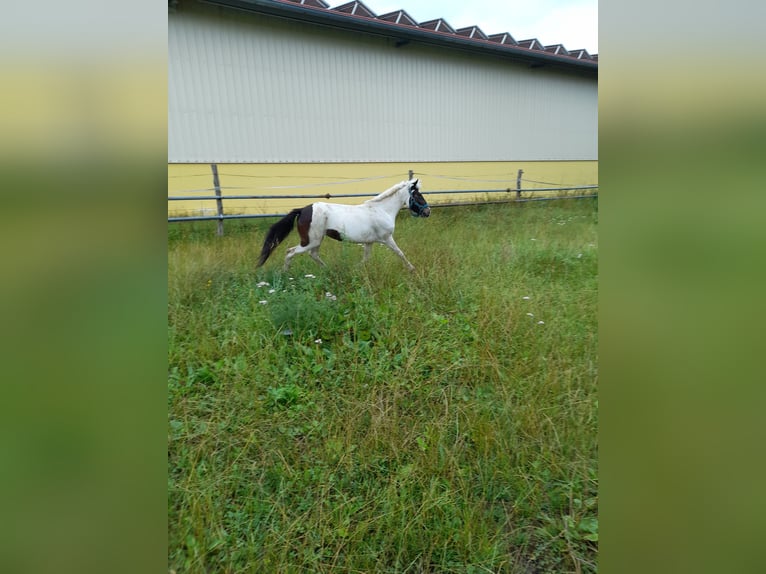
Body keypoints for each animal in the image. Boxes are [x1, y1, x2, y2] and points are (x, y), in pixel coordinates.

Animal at [256, 178, 430, 271]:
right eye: (417, 195)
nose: (427, 212)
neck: (382, 210)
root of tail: (303, 210)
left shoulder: (369, 242)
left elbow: (366, 259)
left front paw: (356, 270)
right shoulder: (387, 238)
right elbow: (400, 253)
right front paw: (412, 270)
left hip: (316, 241)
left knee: (313, 255)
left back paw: (327, 270)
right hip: (310, 241)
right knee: (290, 252)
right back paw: (285, 273)